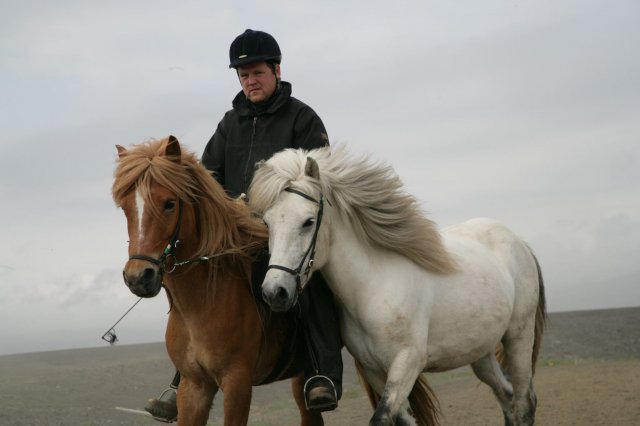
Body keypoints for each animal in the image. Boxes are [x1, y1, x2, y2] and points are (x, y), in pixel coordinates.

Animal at [248, 145, 548, 424]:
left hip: (518, 337)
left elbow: (380, 418)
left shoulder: (407, 363)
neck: (372, 286)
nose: (274, 292)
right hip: (480, 352)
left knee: (524, 402)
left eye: (308, 222)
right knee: (507, 397)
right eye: (267, 223)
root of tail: (519, 242)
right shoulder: (375, 371)